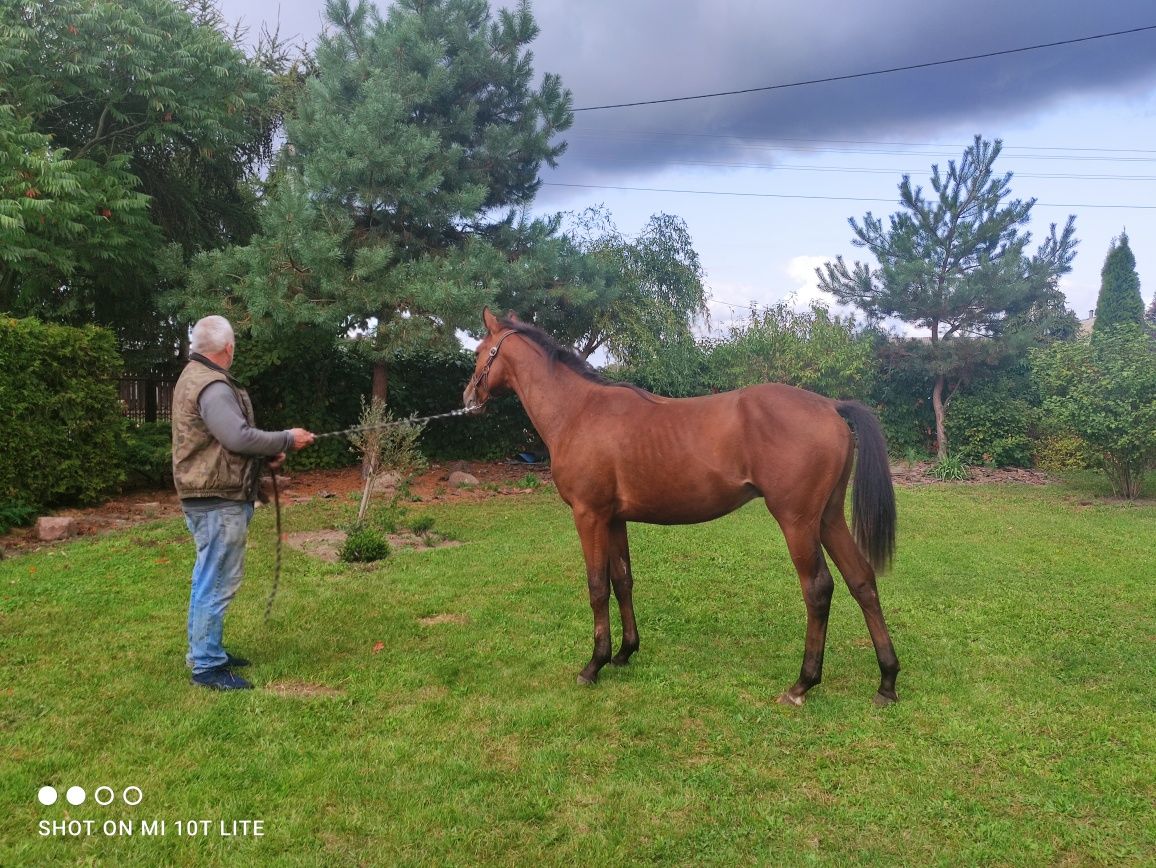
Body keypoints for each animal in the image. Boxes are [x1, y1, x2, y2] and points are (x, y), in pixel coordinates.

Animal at [464, 307, 897, 707]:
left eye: (480, 352)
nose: (468, 399)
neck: (579, 411)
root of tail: (830, 405)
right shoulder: (614, 519)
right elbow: (622, 581)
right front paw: (624, 652)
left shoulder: (589, 515)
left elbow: (597, 587)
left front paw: (594, 664)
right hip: (828, 518)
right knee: (862, 580)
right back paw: (887, 681)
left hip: (797, 522)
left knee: (818, 589)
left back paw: (802, 684)